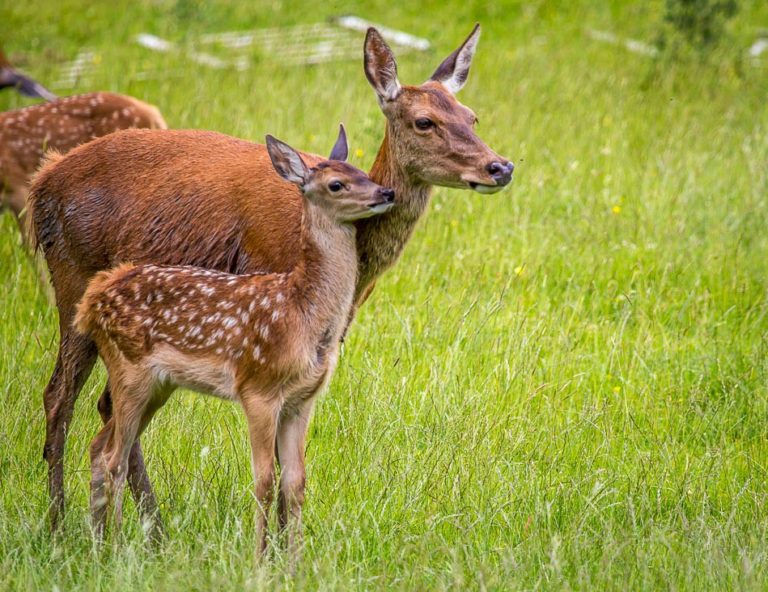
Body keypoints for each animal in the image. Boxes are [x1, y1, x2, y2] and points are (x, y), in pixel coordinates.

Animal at [74, 126, 395, 555]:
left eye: (362, 172)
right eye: (336, 184)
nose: (386, 192)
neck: (302, 313)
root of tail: (92, 300)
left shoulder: (302, 400)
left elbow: (296, 484)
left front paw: (294, 561)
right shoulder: (257, 388)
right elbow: (264, 482)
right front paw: (258, 558)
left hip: (158, 386)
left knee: (99, 447)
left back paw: (97, 543)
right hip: (129, 369)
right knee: (115, 458)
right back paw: (117, 546)